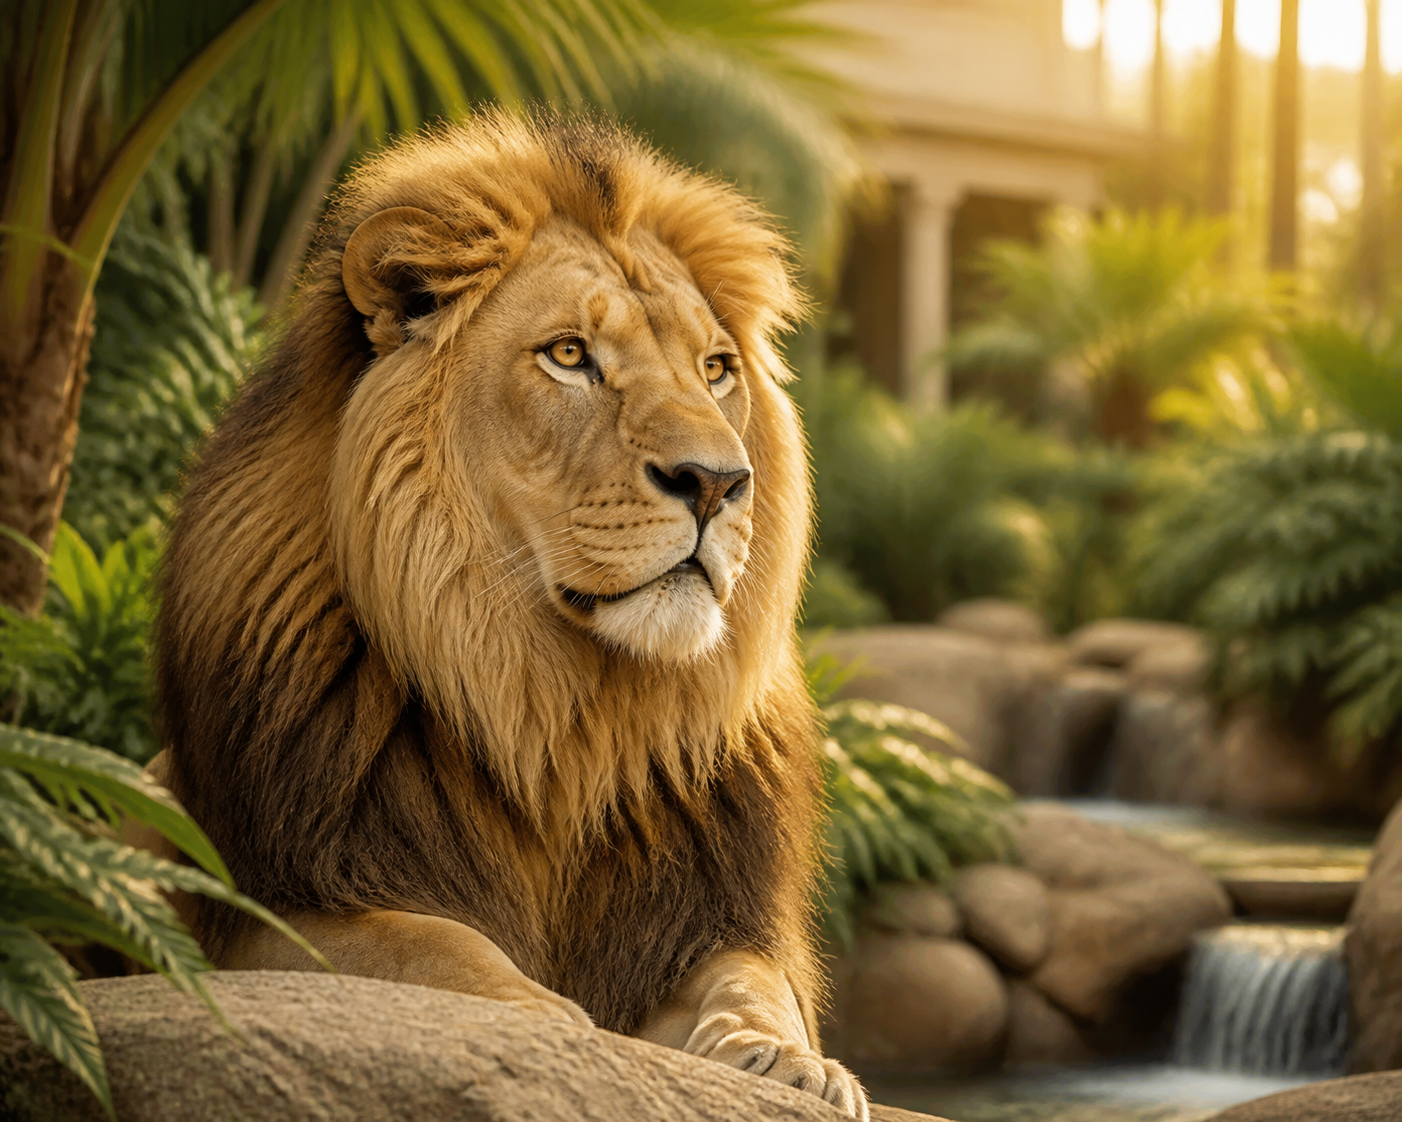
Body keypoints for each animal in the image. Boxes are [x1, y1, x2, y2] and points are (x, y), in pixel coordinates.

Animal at [150, 111, 866, 1115]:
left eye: (717, 369)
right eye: (568, 355)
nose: (720, 482)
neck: (555, 712)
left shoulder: (698, 910)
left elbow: (753, 979)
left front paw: (784, 1058)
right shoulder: (280, 898)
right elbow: (429, 946)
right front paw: (545, 1021)